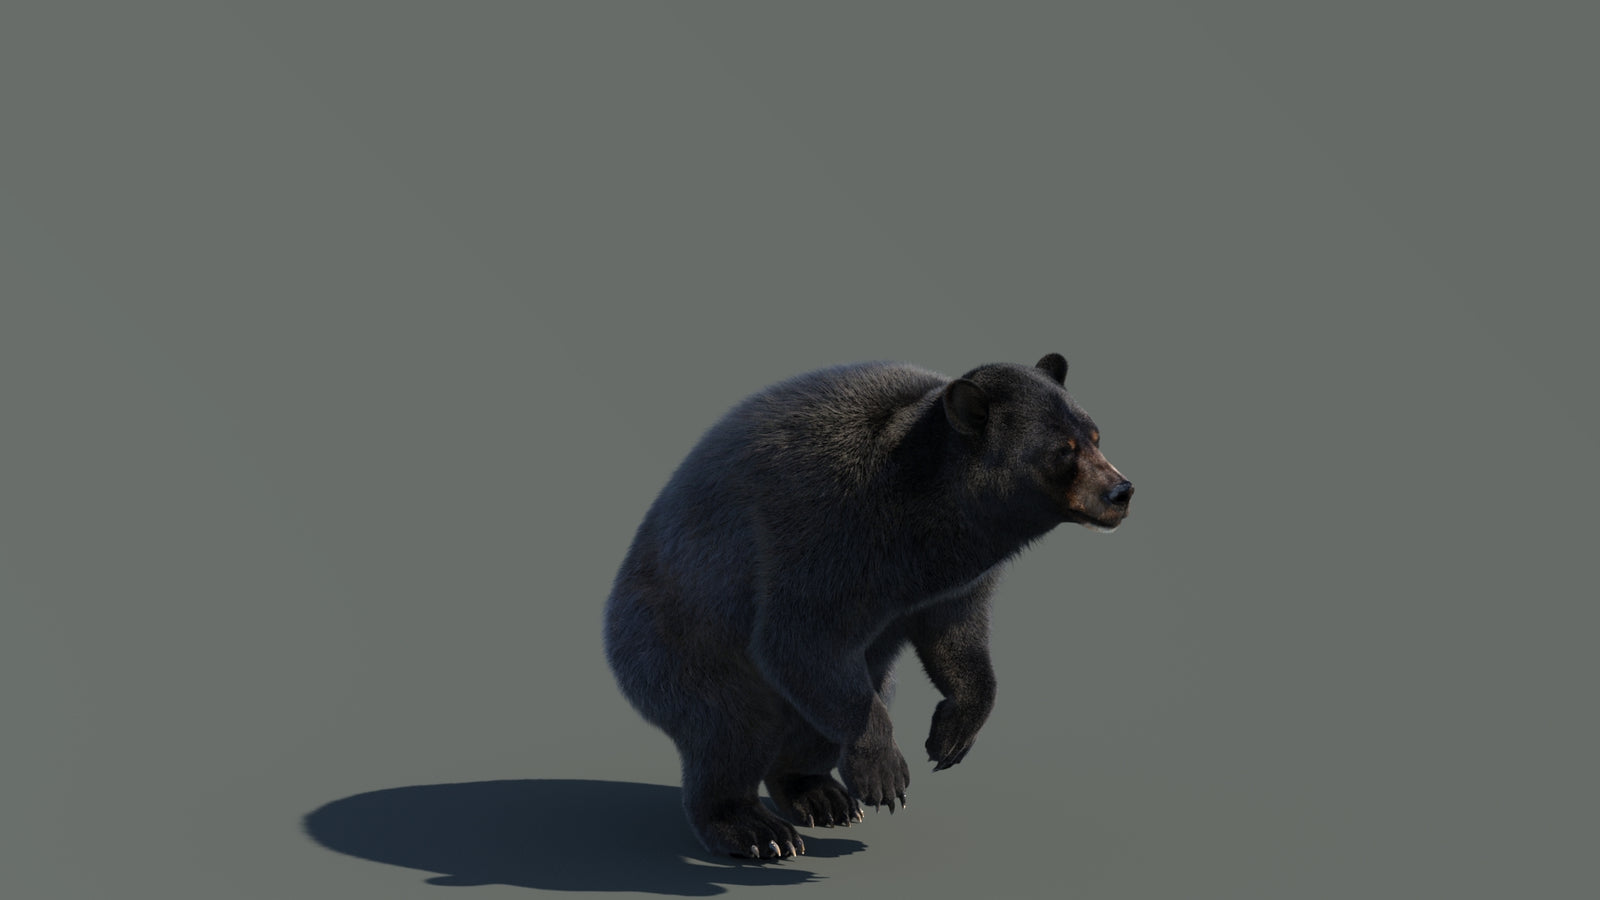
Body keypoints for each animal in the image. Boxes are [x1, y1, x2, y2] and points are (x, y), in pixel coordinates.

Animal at [603, 353, 1133, 859]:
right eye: (1063, 450)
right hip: (673, 640)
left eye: (1095, 435)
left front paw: (951, 735)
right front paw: (885, 774)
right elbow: (800, 637)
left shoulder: (956, 577)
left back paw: (819, 795)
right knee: (731, 726)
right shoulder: (828, 527)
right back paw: (754, 828)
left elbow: (956, 635)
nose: (1122, 491)